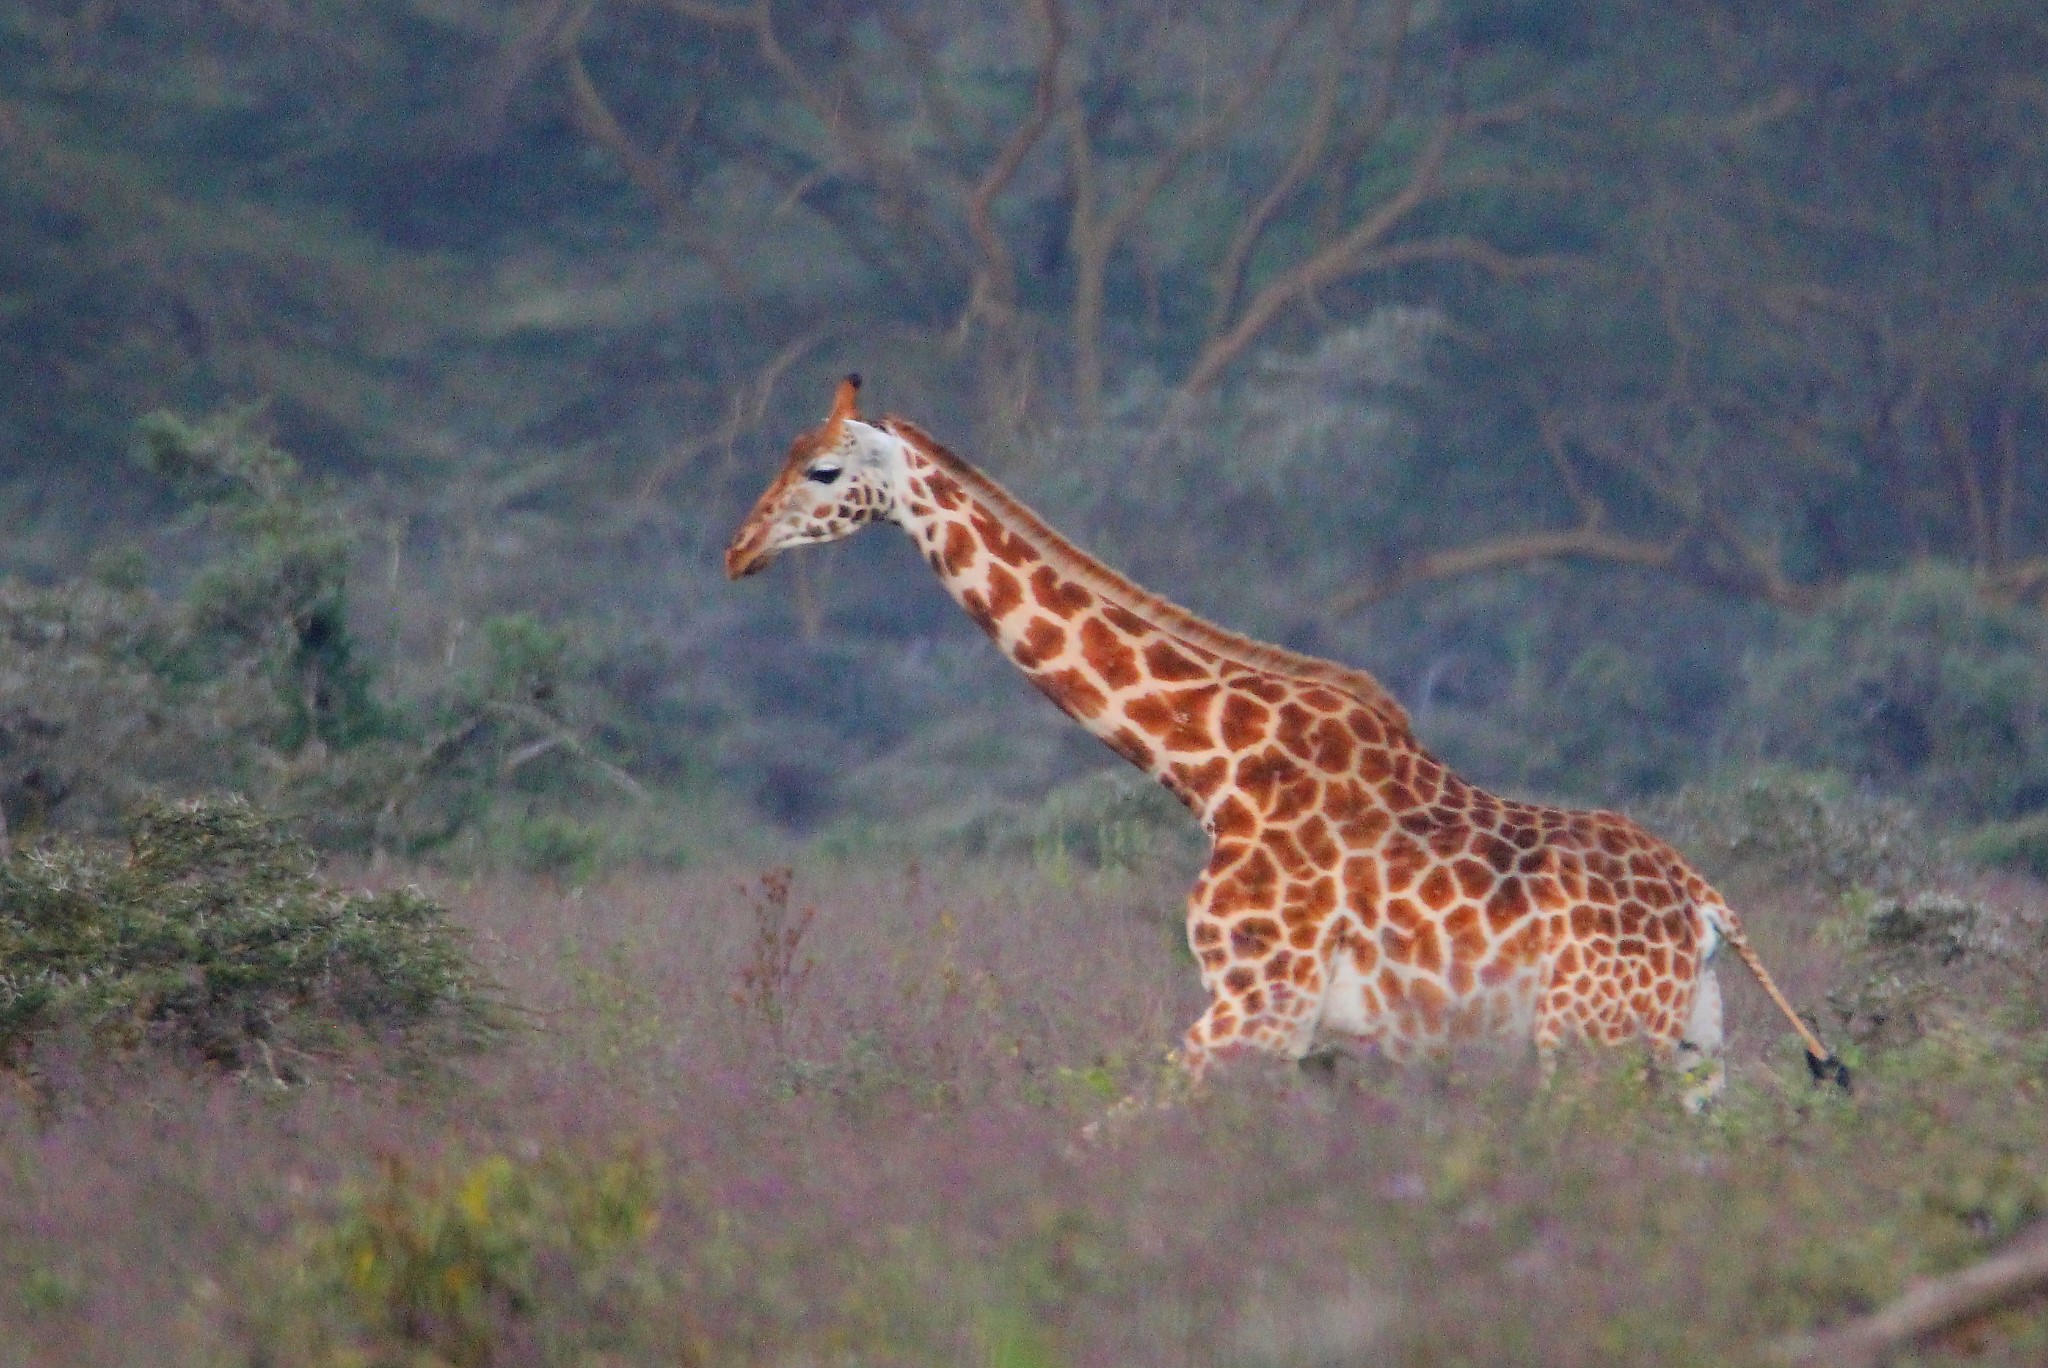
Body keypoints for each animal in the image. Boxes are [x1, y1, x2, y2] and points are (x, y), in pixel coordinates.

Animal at [729, 376, 1851, 1114]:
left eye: (822, 469)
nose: (739, 551)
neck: (1209, 768)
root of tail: (1707, 903)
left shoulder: (1254, 1008)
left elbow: (1109, 1132)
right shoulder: (1319, 1045)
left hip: (1587, 1041)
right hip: (1688, 1048)